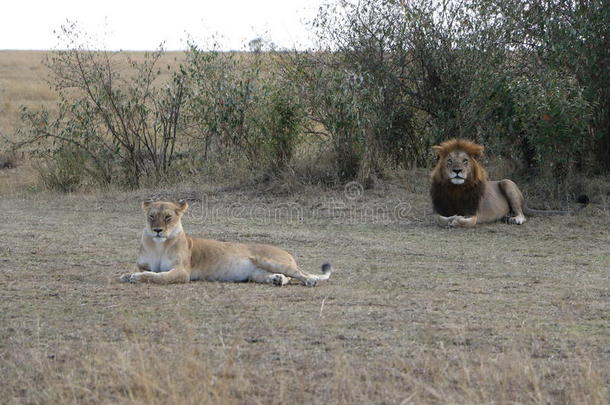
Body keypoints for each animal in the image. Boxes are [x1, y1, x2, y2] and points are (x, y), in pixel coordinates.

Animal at [116, 200, 330, 286]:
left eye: (168, 217)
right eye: (152, 216)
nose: (157, 230)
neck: (159, 245)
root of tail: (288, 253)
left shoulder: (183, 271)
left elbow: (158, 276)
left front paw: (136, 278)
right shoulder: (143, 264)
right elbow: (140, 270)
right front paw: (127, 275)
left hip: (272, 260)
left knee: (300, 274)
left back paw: (311, 281)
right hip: (256, 274)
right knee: (285, 277)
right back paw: (276, 280)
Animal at [428, 139, 584, 227]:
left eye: (465, 161)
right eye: (449, 161)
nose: (457, 170)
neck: (456, 189)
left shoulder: (474, 213)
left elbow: (467, 220)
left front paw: (456, 220)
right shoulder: (439, 210)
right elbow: (439, 219)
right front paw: (452, 218)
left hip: (507, 183)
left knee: (521, 214)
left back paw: (515, 220)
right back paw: (507, 217)